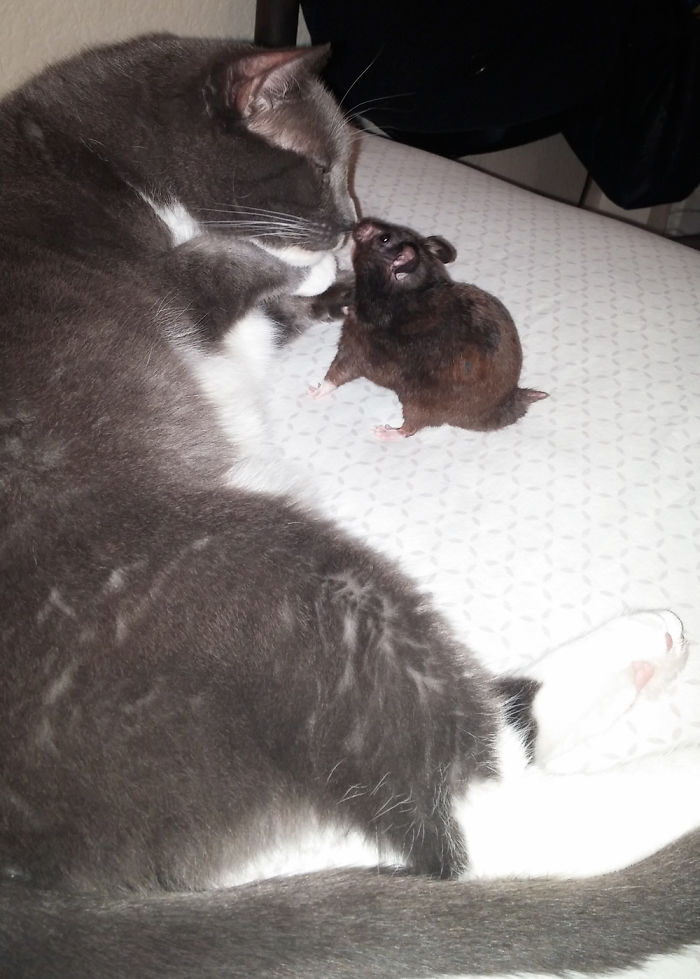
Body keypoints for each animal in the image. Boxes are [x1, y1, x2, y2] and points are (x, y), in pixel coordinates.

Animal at [309, 217, 547, 440]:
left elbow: (335, 374)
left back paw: (384, 432)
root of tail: (508, 402)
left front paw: (312, 392)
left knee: (411, 428)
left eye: (384, 238)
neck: (408, 288)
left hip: (418, 402)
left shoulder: (354, 345)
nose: (357, 222)